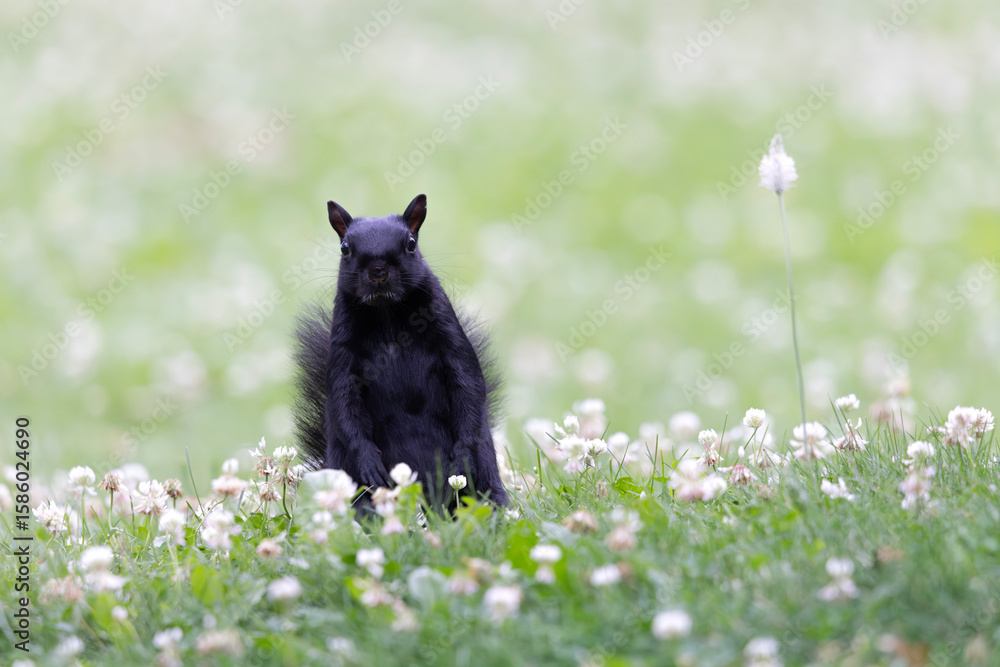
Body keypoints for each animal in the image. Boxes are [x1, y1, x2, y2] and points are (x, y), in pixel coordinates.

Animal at [292, 194, 509, 509]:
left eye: (411, 243)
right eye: (345, 247)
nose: (378, 271)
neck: (386, 311)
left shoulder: (450, 338)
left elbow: (468, 384)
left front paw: (462, 458)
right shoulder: (343, 354)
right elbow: (344, 404)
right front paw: (369, 460)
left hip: (483, 482)